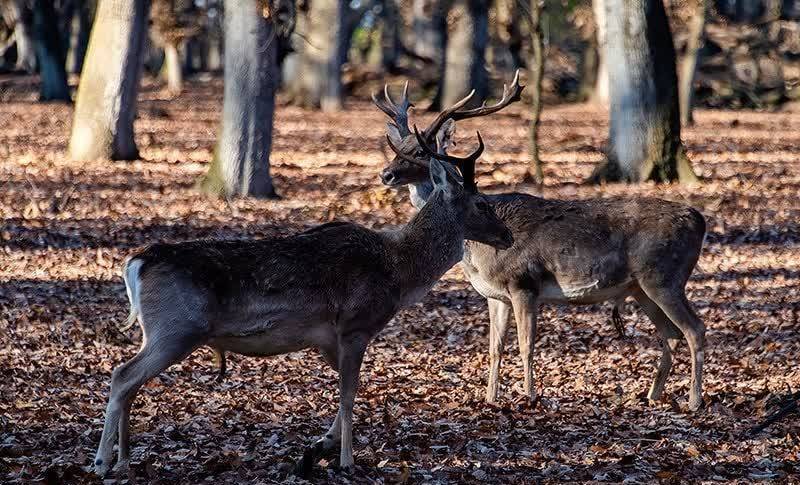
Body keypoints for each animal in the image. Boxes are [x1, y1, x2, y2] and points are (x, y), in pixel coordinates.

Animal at [94, 156, 512, 476]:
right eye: (481, 203)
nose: (507, 236)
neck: (396, 273)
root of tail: (138, 261)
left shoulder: (327, 339)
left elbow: (345, 394)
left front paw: (319, 447)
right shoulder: (356, 326)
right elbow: (349, 394)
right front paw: (347, 462)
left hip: (161, 332)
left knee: (130, 382)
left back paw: (124, 461)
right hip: (176, 329)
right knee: (122, 376)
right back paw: (101, 462)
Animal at [376, 73, 708, 410]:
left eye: (419, 152)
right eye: (398, 146)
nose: (385, 174)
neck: (476, 255)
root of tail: (699, 219)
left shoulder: (524, 283)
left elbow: (526, 345)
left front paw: (530, 396)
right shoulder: (495, 295)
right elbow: (495, 348)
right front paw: (490, 398)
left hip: (664, 277)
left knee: (695, 329)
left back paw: (694, 400)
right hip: (641, 287)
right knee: (671, 333)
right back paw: (652, 395)